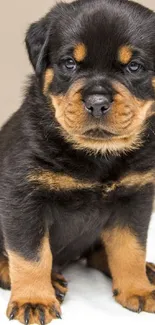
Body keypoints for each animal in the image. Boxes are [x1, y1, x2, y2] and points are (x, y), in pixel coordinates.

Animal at [0, 0, 155, 322]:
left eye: (134, 66)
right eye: (69, 63)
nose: (97, 102)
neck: (95, 154)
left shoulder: (135, 198)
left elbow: (130, 248)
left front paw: (137, 288)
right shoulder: (22, 198)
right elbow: (30, 254)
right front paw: (34, 299)